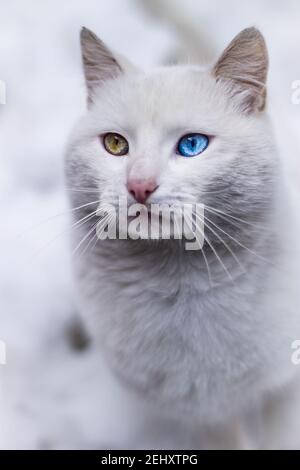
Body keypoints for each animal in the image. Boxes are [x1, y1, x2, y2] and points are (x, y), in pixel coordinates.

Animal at [65, 24, 300, 448]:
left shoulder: (286, 390)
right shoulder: (202, 413)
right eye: (115, 144)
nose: (139, 185)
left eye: (192, 145)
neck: (180, 284)